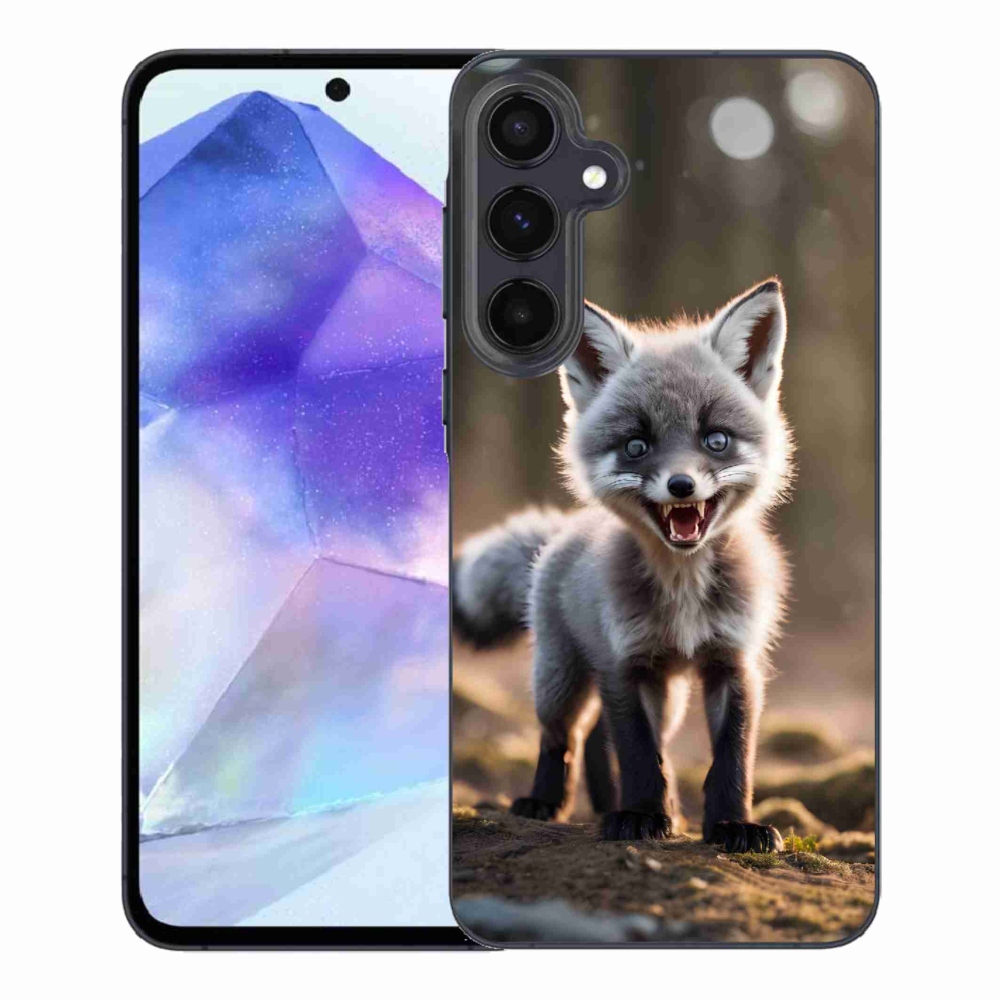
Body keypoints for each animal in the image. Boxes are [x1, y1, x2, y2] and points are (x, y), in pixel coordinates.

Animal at [453, 279, 793, 851]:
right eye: (636, 445)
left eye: (716, 439)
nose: (681, 485)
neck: (683, 591)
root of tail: (562, 533)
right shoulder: (625, 663)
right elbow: (638, 755)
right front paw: (639, 815)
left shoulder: (734, 662)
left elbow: (732, 760)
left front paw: (732, 825)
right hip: (561, 679)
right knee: (563, 736)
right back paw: (546, 801)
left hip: (667, 693)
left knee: (599, 737)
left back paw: (616, 803)